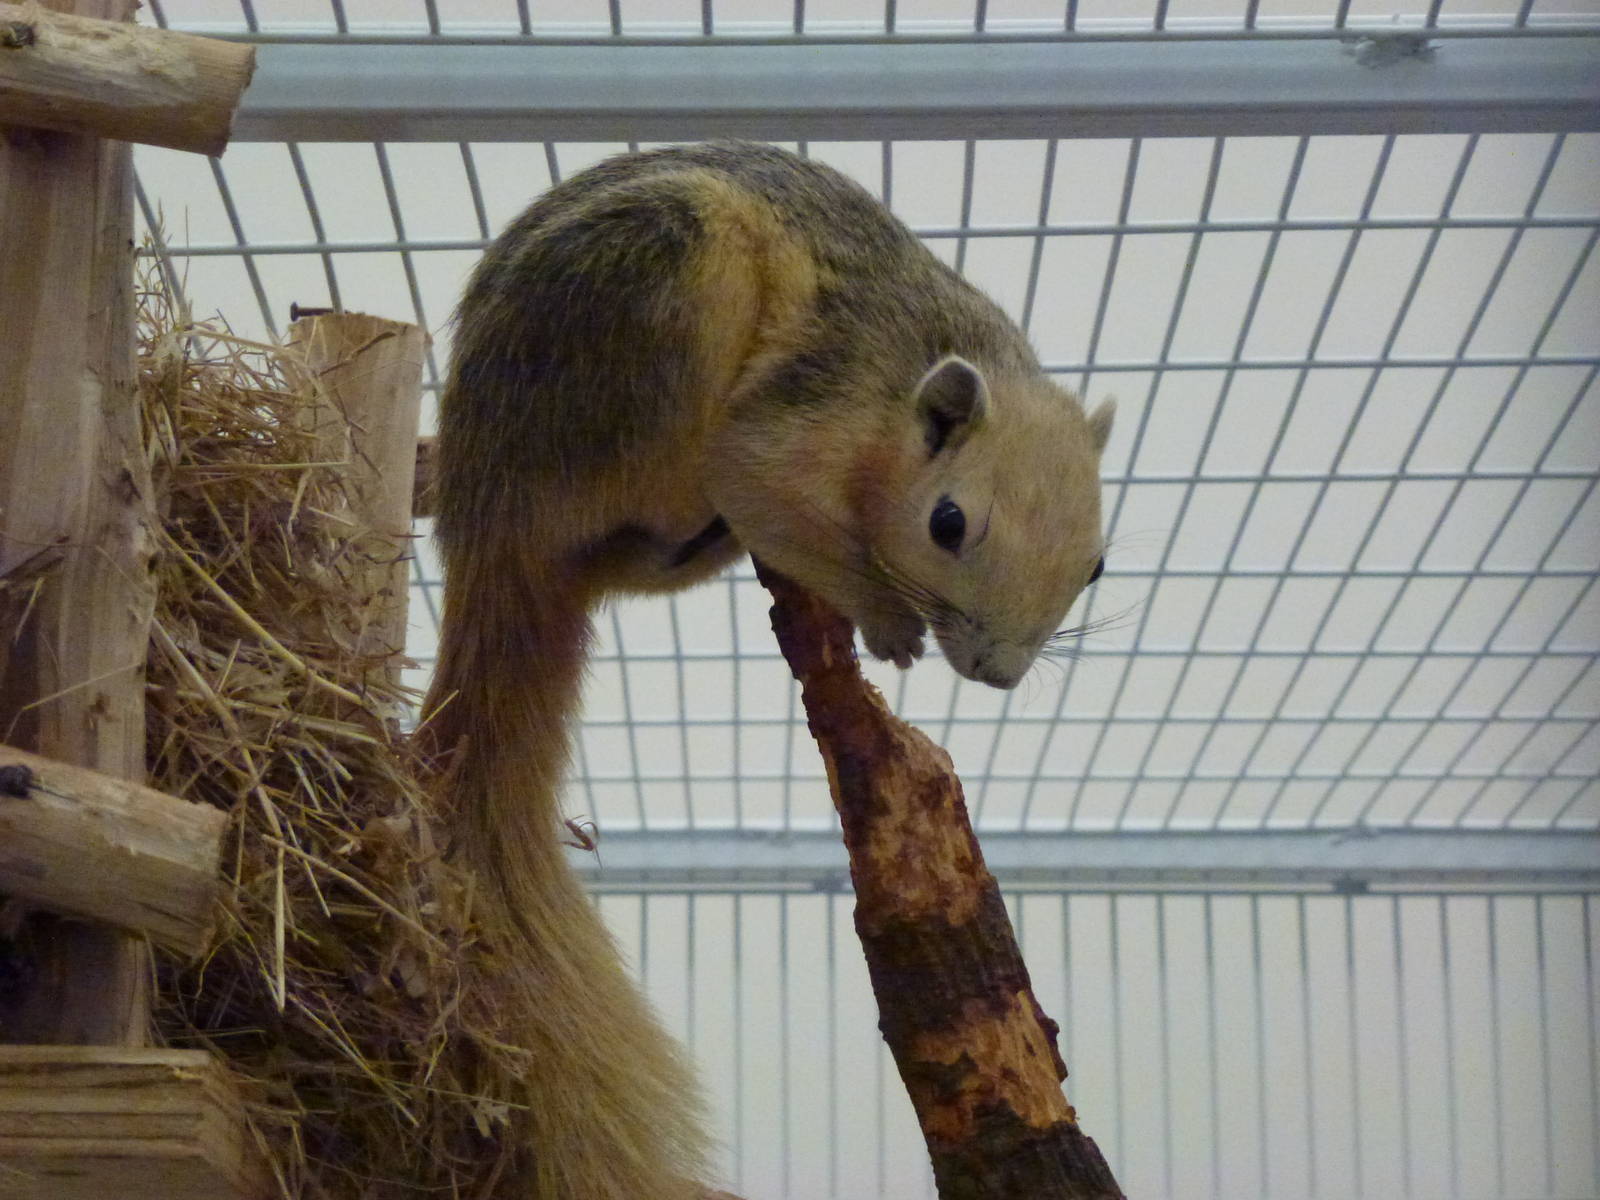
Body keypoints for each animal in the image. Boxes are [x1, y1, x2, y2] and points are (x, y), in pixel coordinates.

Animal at [419, 141, 1114, 1198]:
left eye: (1099, 564)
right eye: (948, 522)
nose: (994, 672)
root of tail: (477, 507)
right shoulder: (787, 428)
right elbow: (759, 484)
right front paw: (890, 625)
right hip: (662, 311)